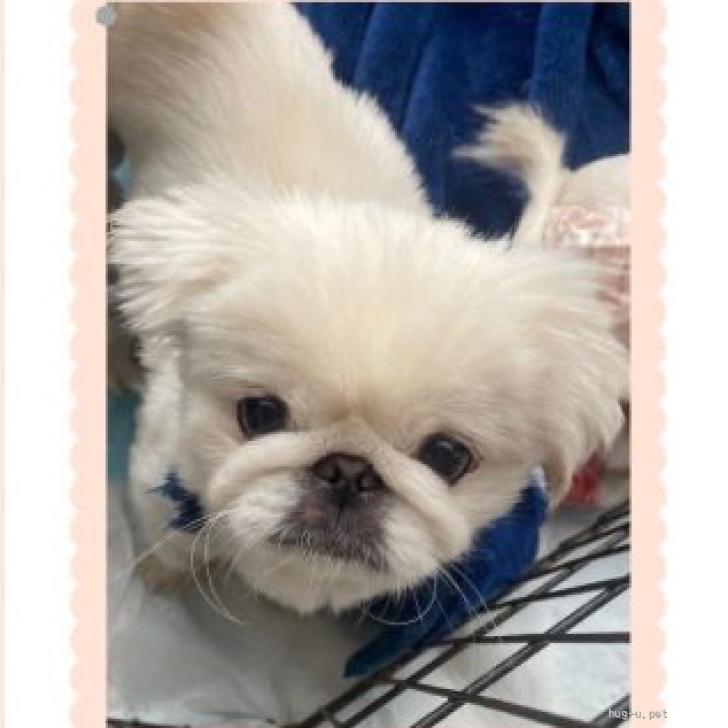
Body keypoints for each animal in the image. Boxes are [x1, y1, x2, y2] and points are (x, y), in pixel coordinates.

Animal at [108, 3, 627, 724]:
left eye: (447, 456)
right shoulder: (155, 471)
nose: (348, 471)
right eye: (259, 414)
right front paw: (165, 573)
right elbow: (168, 536)